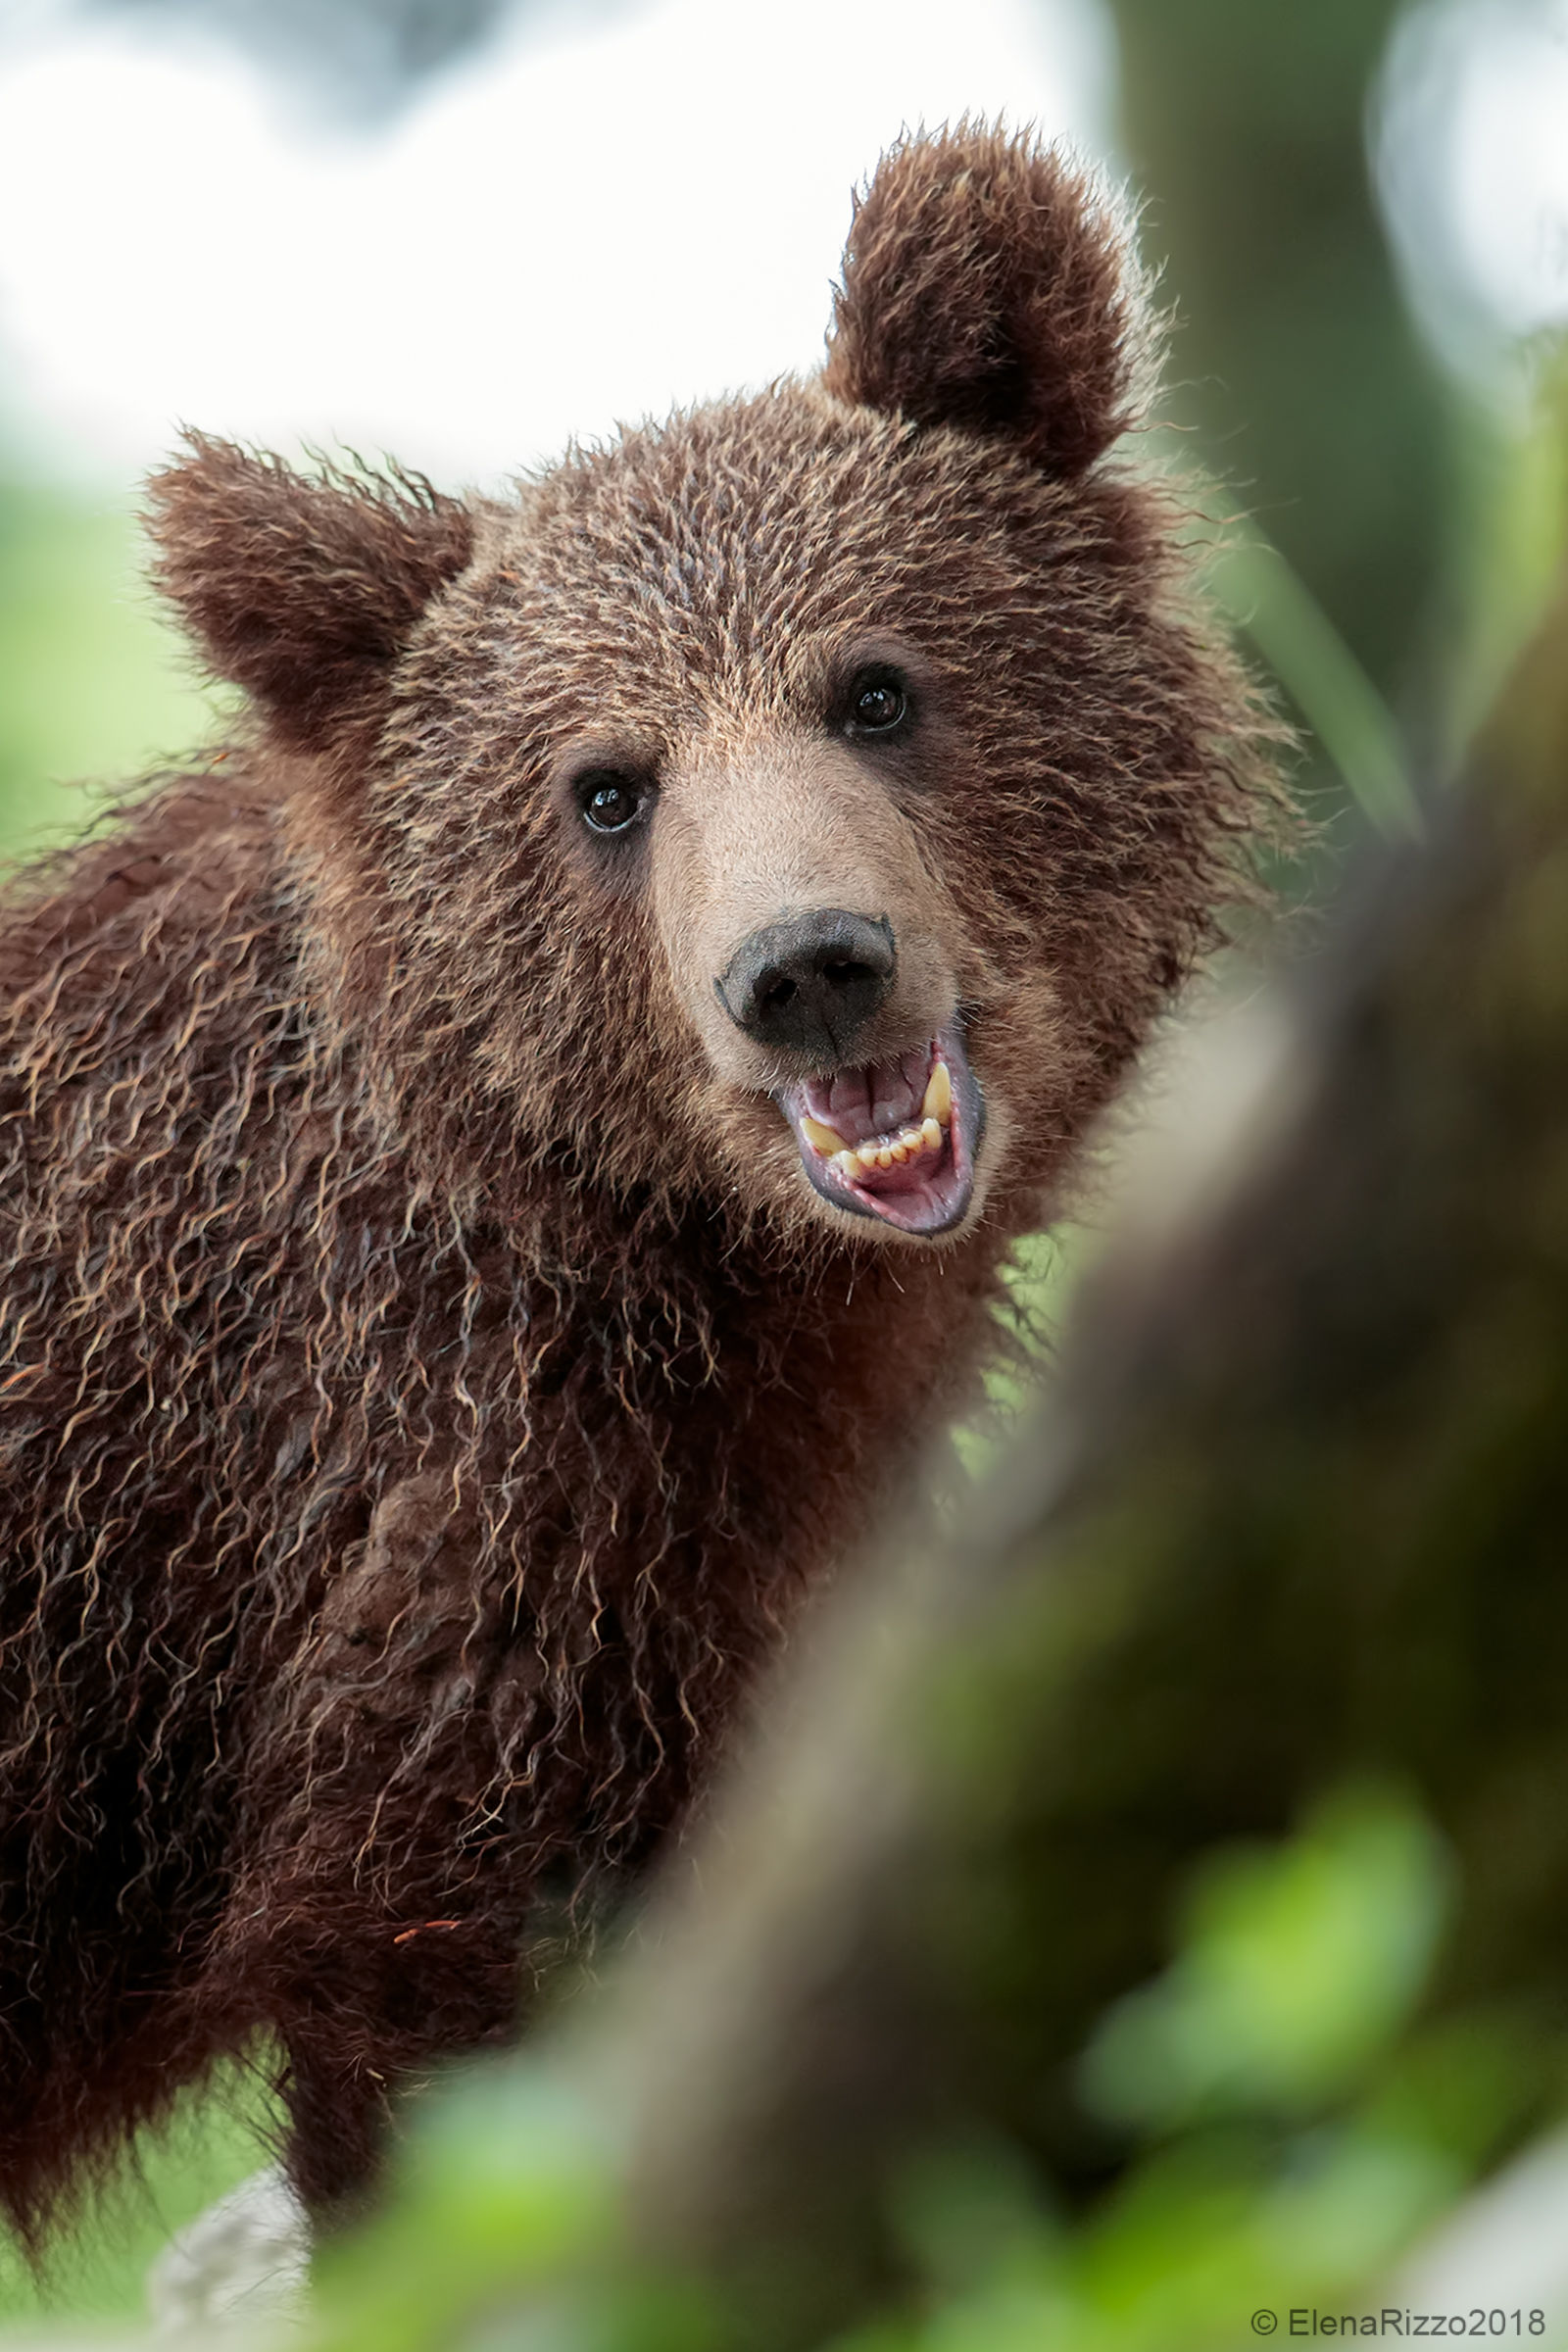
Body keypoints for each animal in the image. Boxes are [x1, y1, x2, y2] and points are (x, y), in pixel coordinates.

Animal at [0, 122, 1271, 2237]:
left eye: (873, 687)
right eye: (606, 785)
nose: (809, 968)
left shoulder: (749, 1552)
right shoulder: (442, 1502)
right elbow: (436, 2001)